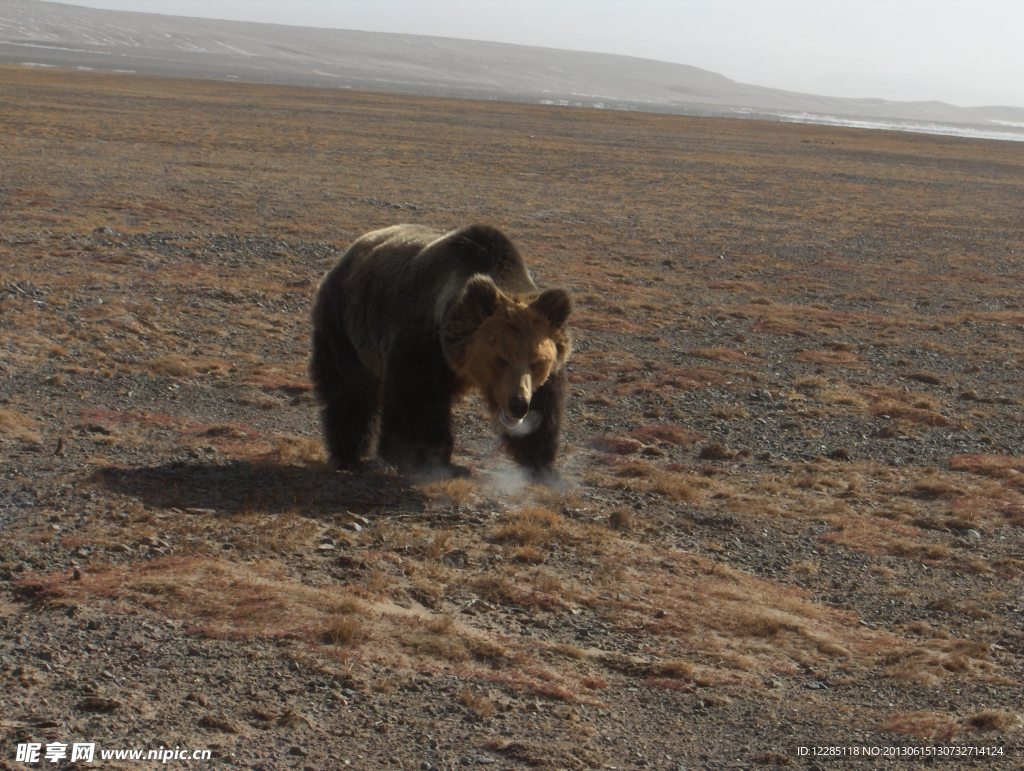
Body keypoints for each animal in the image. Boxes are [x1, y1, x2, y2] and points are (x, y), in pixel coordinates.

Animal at [310, 224, 572, 479]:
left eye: (536, 362)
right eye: (500, 359)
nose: (518, 404)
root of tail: (349, 253)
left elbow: (544, 409)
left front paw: (542, 464)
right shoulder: (424, 343)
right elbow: (416, 398)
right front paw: (419, 457)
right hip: (346, 322)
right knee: (350, 388)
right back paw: (350, 455)